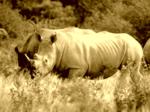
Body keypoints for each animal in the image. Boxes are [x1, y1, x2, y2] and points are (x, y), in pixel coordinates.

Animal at [14, 27, 143, 79]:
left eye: (46, 60)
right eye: (34, 56)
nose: (34, 75)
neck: (57, 46)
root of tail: (138, 43)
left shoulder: (77, 68)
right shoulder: (64, 68)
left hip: (132, 49)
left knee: (127, 71)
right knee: (134, 73)